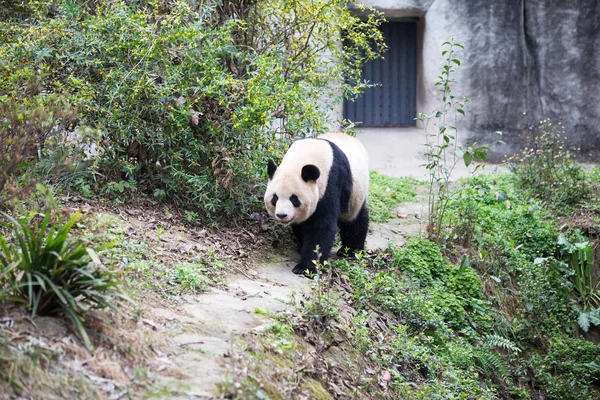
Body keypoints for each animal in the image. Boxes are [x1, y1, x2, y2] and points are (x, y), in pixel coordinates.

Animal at [264, 133, 368, 276]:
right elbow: (301, 224)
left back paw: (351, 251)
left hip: (356, 193)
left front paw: (305, 267)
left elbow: (321, 227)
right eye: (275, 198)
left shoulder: (331, 183)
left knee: (355, 220)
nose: (282, 215)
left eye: (294, 199)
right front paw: (301, 247)